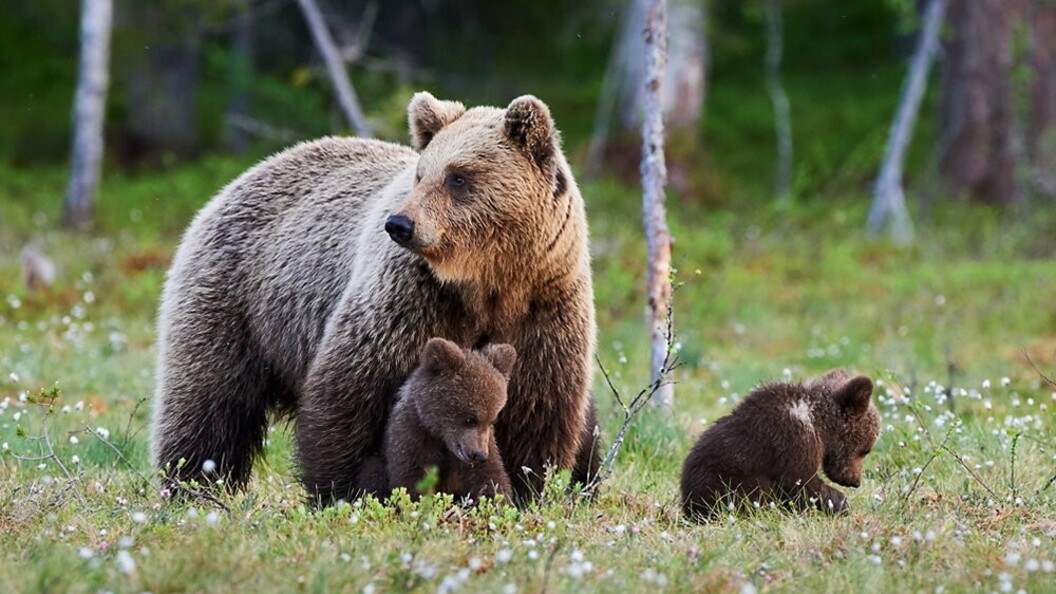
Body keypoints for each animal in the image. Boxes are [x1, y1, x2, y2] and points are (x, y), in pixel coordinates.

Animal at [358, 338, 516, 502]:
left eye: (492, 420)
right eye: (470, 419)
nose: (479, 455)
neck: (440, 437)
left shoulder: (484, 445)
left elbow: (490, 477)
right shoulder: (411, 436)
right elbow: (412, 478)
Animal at [680, 370, 880, 520]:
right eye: (866, 450)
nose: (855, 481)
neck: (819, 424)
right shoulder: (793, 439)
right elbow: (799, 481)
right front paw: (840, 503)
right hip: (724, 480)